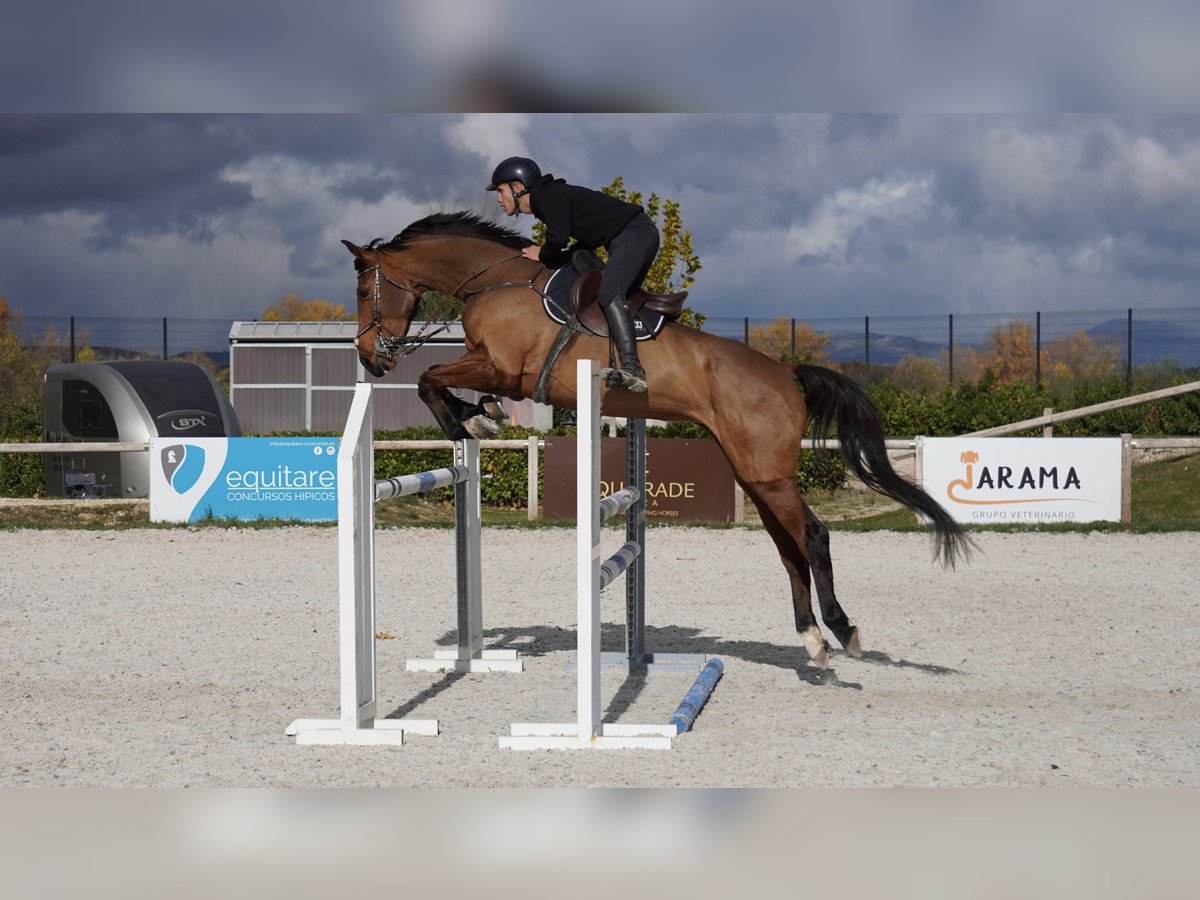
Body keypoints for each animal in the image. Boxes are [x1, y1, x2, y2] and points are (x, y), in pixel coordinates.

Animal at [342, 211, 970, 669]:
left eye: (363, 289)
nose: (369, 357)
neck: (495, 280)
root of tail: (785, 371)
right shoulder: (493, 368)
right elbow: (438, 381)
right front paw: (480, 416)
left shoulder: (502, 367)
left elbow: (429, 379)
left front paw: (466, 422)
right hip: (754, 473)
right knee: (788, 549)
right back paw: (811, 640)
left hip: (768, 474)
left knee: (812, 537)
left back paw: (842, 629)